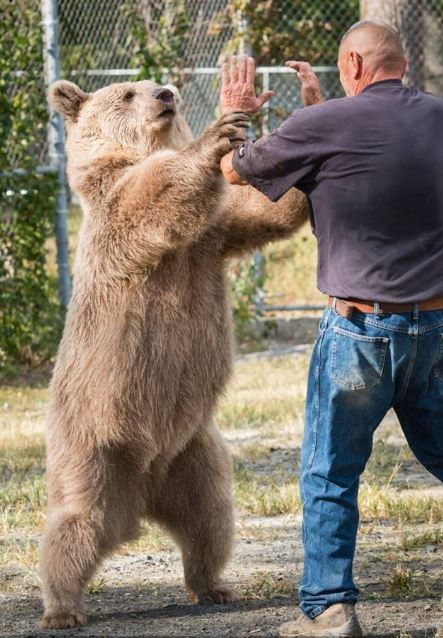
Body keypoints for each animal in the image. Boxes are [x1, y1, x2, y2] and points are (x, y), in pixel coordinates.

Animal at [39, 79, 308, 632]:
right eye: (126, 92)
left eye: (166, 88)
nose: (164, 93)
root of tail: (141, 494)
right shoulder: (119, 213)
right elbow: (156, 193)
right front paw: (218, 134)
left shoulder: (215, 235)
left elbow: (262, 209)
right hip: (91, 442)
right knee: (74, 524)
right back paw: (62, 608)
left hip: (192, 452)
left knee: (210, 520)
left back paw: (214, 586)